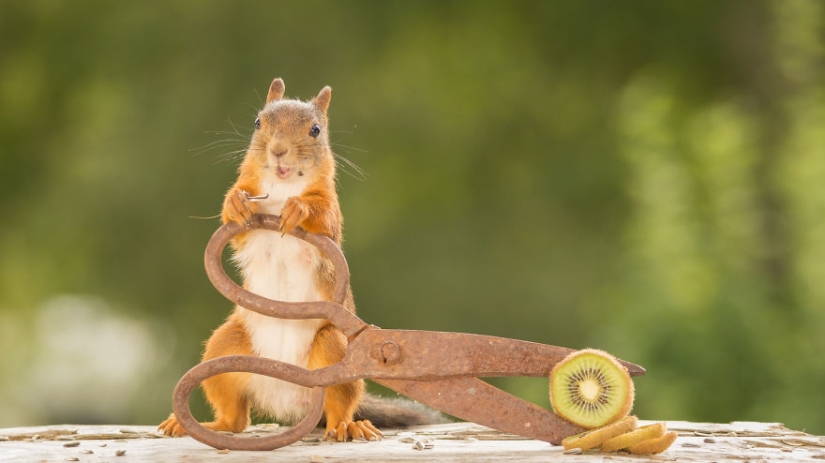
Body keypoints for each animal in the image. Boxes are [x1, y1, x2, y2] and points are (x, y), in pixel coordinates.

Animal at [159, 78, 443, 442]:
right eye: (258, 123)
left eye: (315, 130)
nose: (278, 149)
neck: (281, 187)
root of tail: (286, 395)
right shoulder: (244, 227)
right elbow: (233, 221)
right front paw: (237, 202)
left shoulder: (331, 212)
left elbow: (323, 215)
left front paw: (298, 208)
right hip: (224, 351)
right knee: (235, 418)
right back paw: (192, 423)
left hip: (334, 348)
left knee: (338, 404)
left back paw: (349, 425)